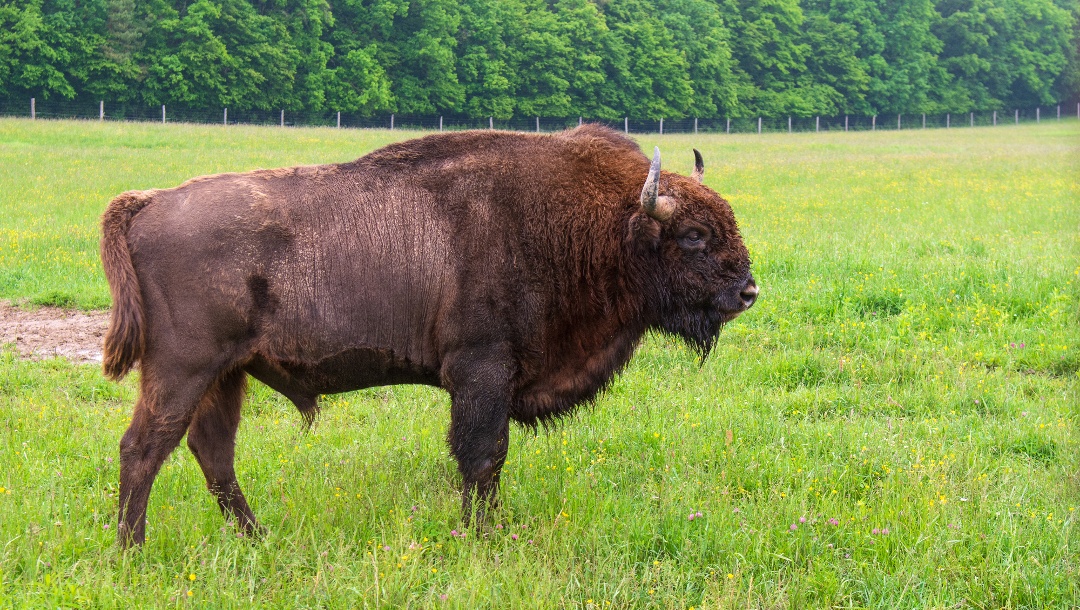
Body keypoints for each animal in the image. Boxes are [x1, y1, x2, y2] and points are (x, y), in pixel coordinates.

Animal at [103, 122, 760, 541]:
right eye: (694, 236)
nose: (748, 292)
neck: (602, 222)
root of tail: (149, 202)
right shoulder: (483, 371)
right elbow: (483, 456)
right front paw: (483, 535)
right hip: (183, 369)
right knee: (144, 448)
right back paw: (132, 552)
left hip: (227, 375)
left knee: (212, 454)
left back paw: (257, 538)